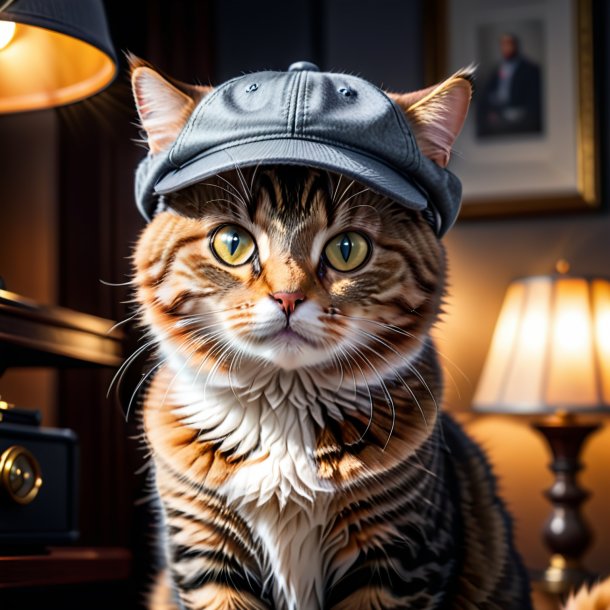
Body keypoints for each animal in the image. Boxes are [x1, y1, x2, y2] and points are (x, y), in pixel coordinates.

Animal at [129, 60, 532, 608]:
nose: (288, 297)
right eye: (232, 243)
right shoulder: (204, 556)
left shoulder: (397, 559)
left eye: (347, 249)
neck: (282, 416)